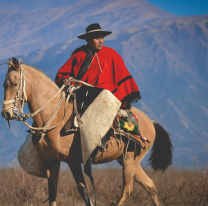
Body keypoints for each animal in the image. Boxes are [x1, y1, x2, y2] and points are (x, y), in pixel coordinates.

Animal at [1, 56, 173, 206]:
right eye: (4, 85)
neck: (54, 115)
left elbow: (83, 191)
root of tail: (151, 122)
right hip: (126, 160)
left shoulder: (72, 160)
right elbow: (52, 192)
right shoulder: (50, 160)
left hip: (130, 161)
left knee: (127, 190)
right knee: (150, 185)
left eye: (15, 84)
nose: (6, 113)